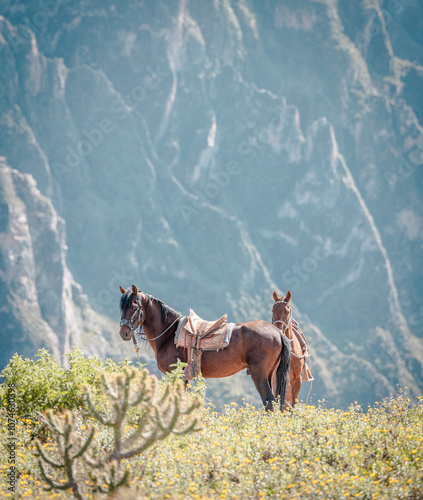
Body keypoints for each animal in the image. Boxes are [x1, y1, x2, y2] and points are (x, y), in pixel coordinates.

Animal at [119, 286, 292, 410]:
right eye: (121, 307)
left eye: (135, 307)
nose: (124, 332)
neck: (169, 333)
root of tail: (277, 331)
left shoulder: (175, 375)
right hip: (269, 374)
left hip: (259, 374)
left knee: (268, 401)